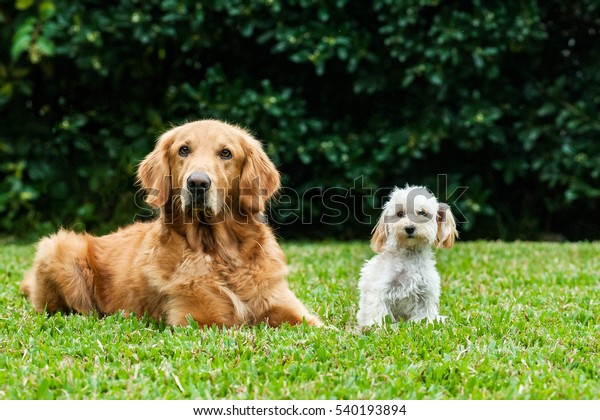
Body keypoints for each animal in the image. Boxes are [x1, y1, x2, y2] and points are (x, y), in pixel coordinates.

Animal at [21, 120, 322, 326]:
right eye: (183, 150)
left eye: (226, 153)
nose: (198, 183)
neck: (217, 251)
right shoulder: (198, 319)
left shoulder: (291, 310)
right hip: (58, 246)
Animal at [356, 184, 460, 324]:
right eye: (400, 214)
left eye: (422, 212)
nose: (409, 228)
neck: (410, 255)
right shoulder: (380, 290)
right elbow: (378, 313)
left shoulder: (425, 294)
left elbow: (423, 317)